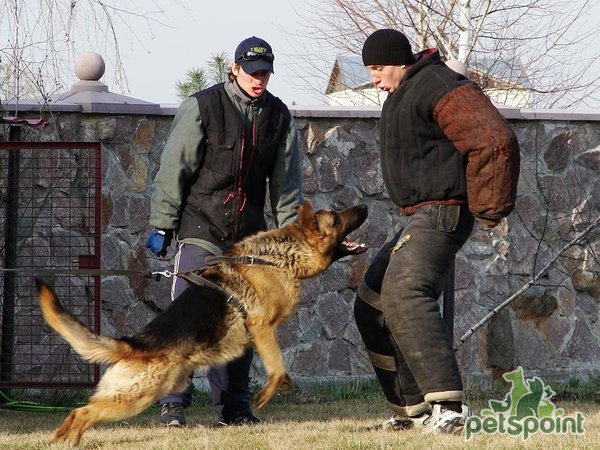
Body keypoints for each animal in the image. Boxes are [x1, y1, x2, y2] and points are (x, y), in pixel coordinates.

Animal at [36, 200, 370, 446]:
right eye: (336, 218)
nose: (365, 205)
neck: (278, 257)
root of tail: (135, 343)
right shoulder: (262, 326)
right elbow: (277, 368)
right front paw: (265, 395)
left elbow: (278, 369)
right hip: (136, 396)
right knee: (82, 412)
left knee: (79, 414)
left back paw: (61, 441)